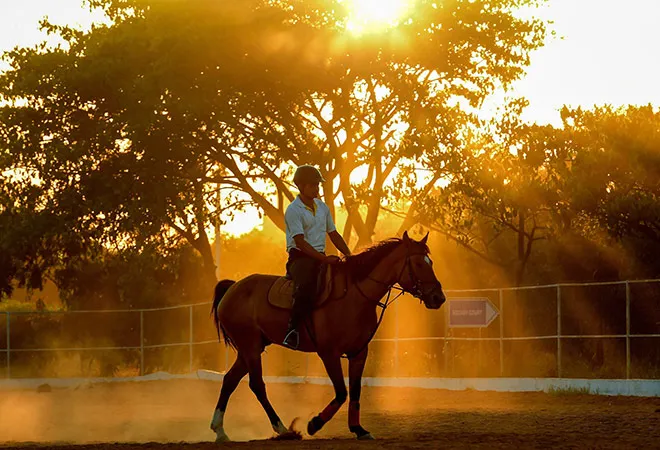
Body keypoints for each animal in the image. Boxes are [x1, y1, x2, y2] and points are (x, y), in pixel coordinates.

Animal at [210, 230, 448, 442]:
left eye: (431, 262)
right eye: (419, 264)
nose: (438, 297)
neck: (355, 296)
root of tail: (233, 288)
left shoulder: (359, 353)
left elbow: (355, 392)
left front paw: (359, 429)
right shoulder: (329, 354)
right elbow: (342, 392)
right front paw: (314, 424)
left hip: (251, 348)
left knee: (230, 380)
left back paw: (220, 431)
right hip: (250, 347)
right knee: (257, 385)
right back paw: (284, 429)